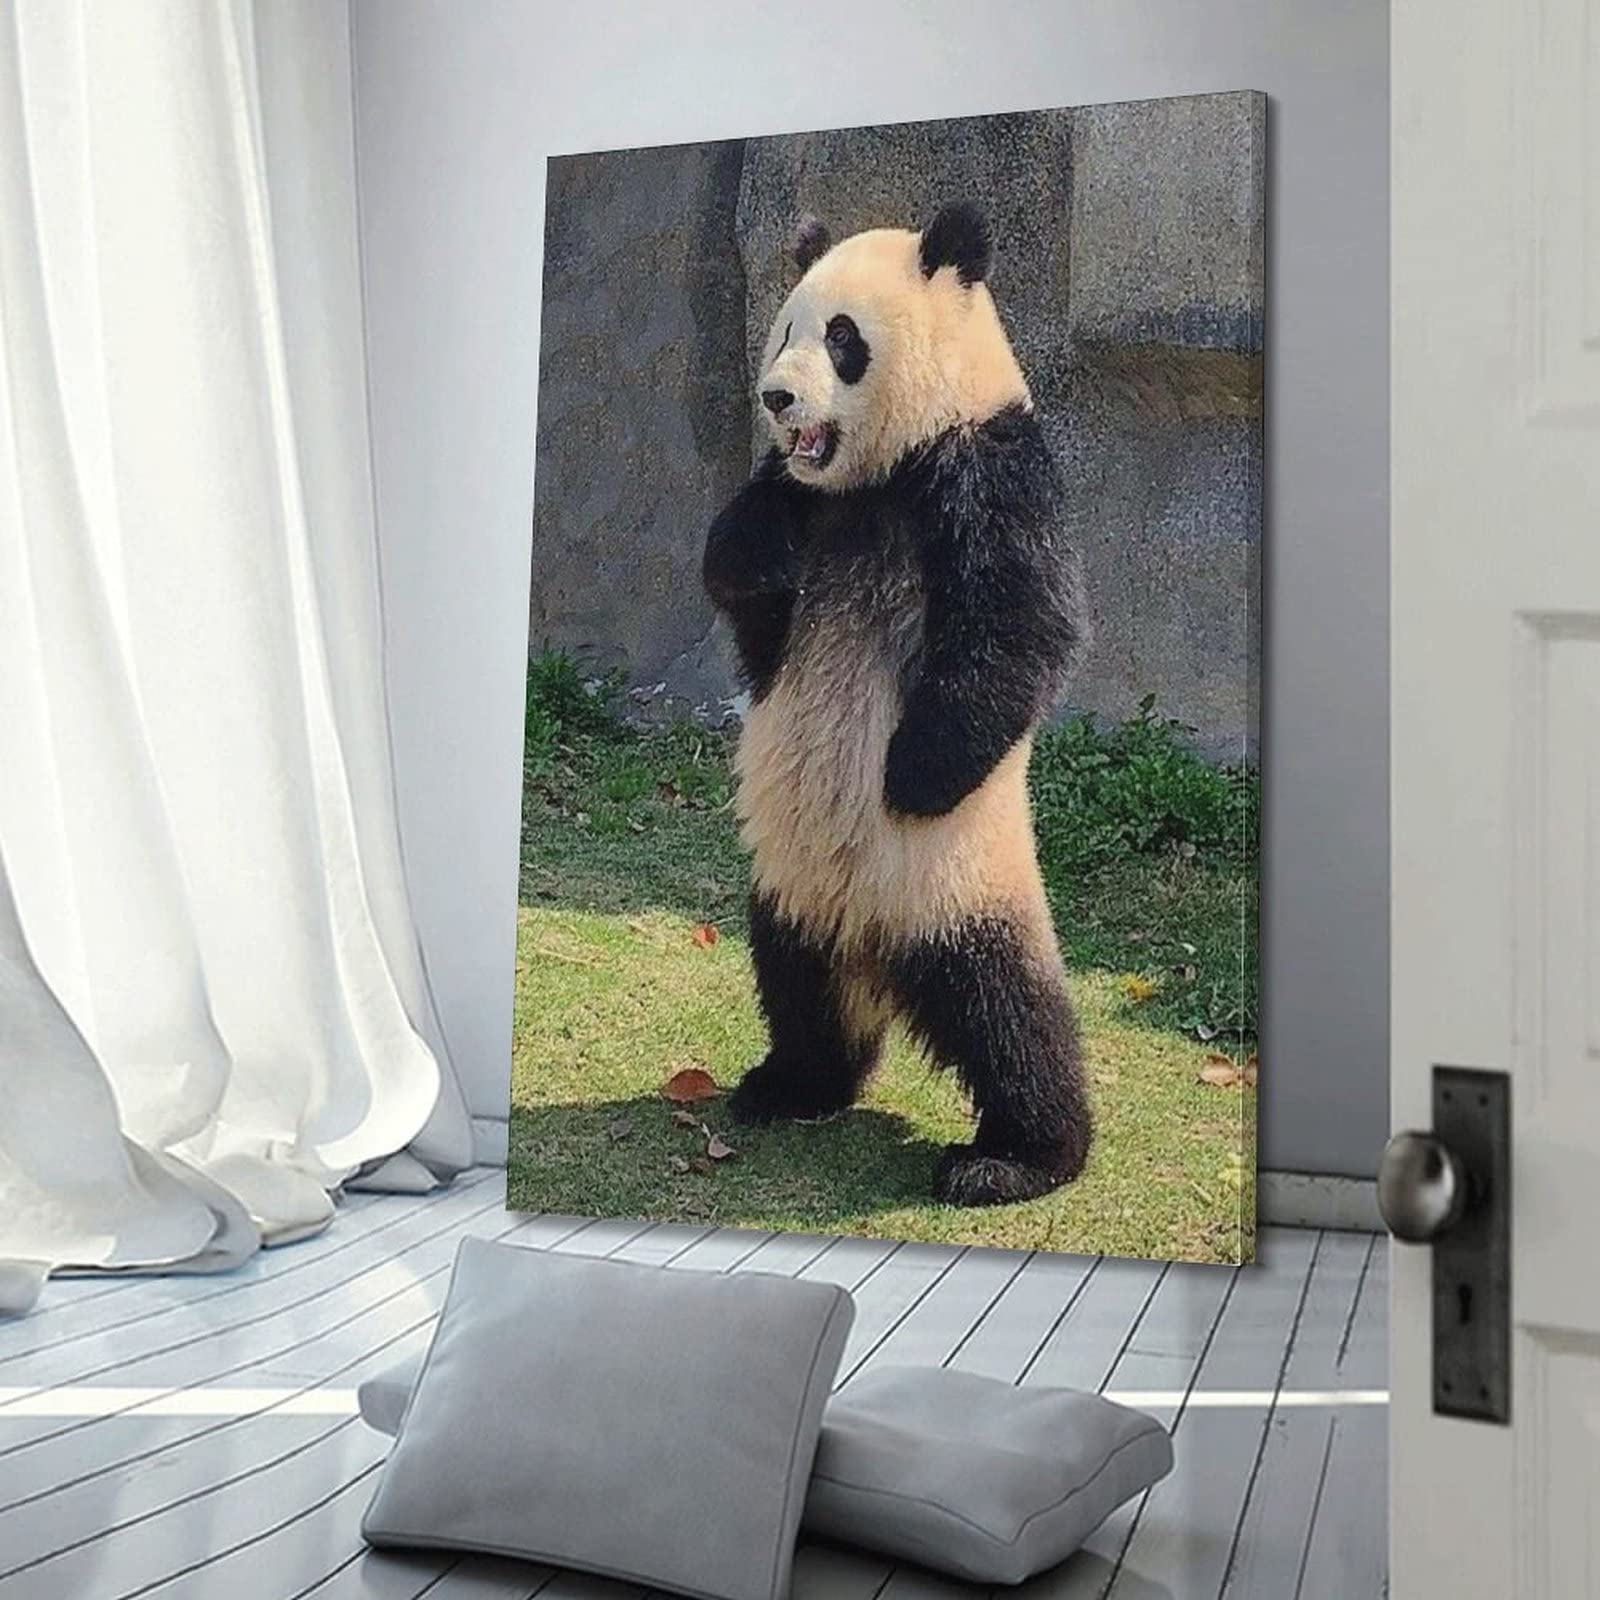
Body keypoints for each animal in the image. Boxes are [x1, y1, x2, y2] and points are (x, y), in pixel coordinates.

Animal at [701, 202, 1091, 1207]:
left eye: (843, 340)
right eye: (785, 331)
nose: (777, 399)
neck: (881, 472)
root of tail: (876, 945)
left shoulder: (987, 465)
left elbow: (1018, 625)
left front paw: (913, 774)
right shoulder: (800, 499)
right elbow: (750, 595)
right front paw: (763, 555)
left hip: (958, 881)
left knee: (1007, 1010)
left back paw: (1018, 1156)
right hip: (789, 881)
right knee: (795, 980)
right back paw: (792, 1085)